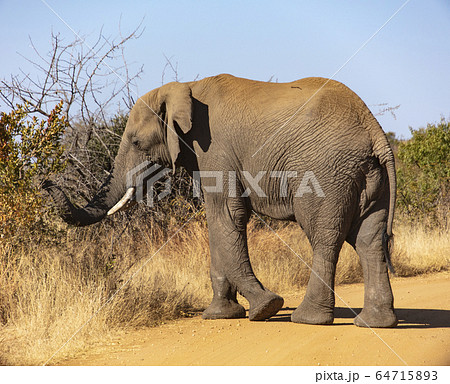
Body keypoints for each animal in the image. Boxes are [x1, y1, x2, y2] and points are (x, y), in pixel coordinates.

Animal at [44, 74, 398, 328]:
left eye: (135, 142)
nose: (47, 183)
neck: (185, 87)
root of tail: (375, 132)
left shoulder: (215, 148)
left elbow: (225, 214)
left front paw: (266, 307)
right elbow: (218, 221)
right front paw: (221, 315)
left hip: (327, 170)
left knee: (324, 236)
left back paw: (308, 319)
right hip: (369, 177)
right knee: (368, 239)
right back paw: (375, 324)